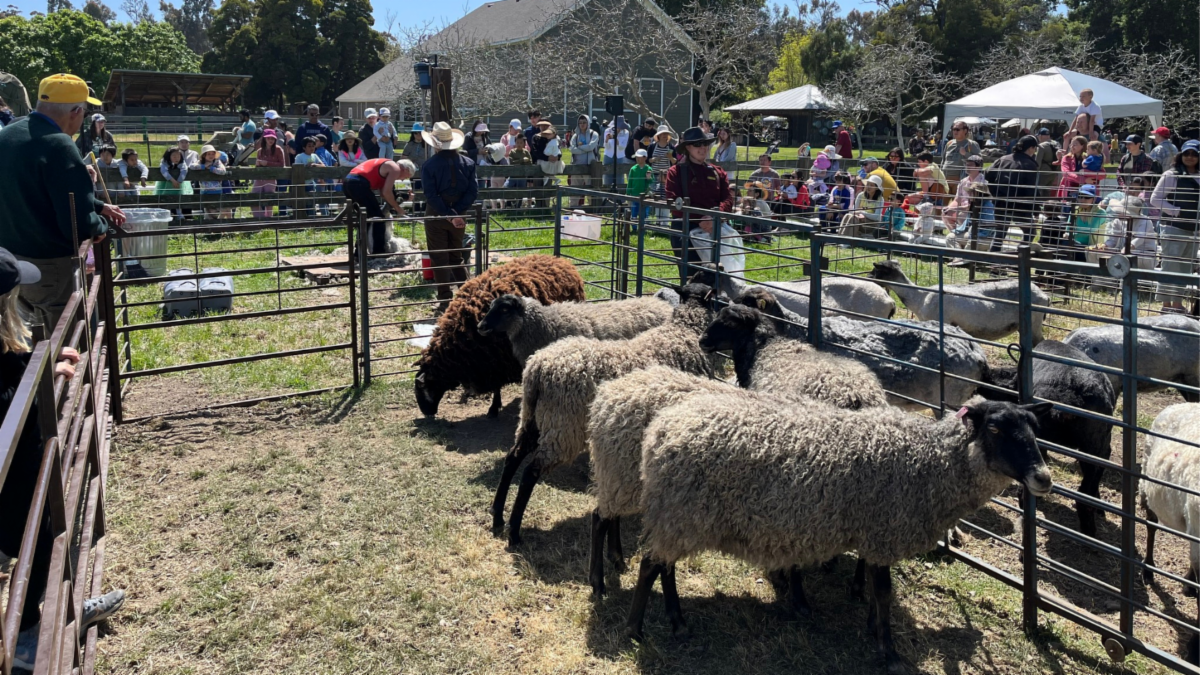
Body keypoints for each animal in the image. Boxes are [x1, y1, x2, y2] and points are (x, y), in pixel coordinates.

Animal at [414, 255, 586, 419]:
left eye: (423, 389)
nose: (427, 413)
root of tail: (560, 260)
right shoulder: (493, 361)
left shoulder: (499, 359)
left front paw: (494, 408)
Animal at [628, 395, 1053, 673]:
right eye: (995, 427)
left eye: (1035, 430)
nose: (1043, 478)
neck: (930, 462)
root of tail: (660, 428)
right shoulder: (883, 531)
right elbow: (884, 593)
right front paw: (888, 651)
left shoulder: (873, 533)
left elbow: (876, 591)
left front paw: (871, 628)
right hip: (679, 512)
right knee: (650, 566)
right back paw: (636, 629)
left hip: (678, 517)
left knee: (665, 566)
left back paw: (677, 621)